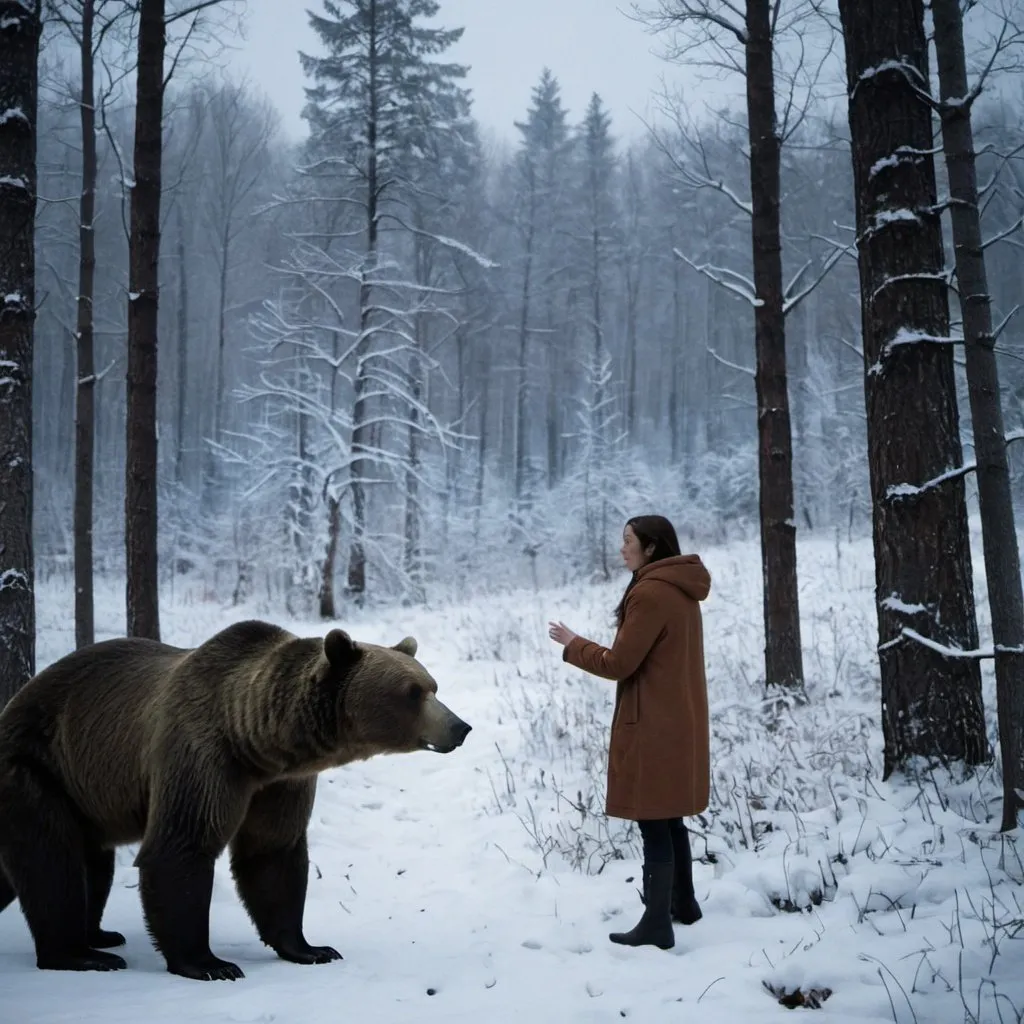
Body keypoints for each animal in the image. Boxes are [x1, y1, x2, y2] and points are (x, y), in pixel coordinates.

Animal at [0, 618, 471, 978]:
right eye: (413, 692)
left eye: (433, 685)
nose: (460, 726)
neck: (254, 739)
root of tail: (14, 701)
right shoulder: (202, 758)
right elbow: (182, 846)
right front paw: (210, 963)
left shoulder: (280, 784)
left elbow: (273, 854)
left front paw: (312, 948)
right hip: (37, 769)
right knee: (51, 862)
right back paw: (79, 954)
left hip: (85, 796)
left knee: (91, 864)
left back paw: (99, 936)